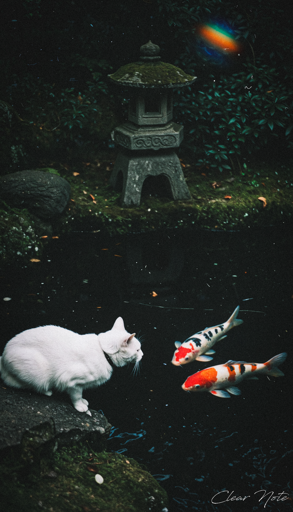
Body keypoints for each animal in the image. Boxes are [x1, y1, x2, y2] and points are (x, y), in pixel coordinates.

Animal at [0, 316, 141, 416]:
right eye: (138, 350)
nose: (143, 354)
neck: (103, 352)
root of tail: (4, 356)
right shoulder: (73, 382)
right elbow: (76, 396)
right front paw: (81, 407)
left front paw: (84, 401)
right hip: (37, 371)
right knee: (16, 383)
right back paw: (47, 391)